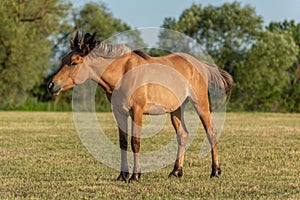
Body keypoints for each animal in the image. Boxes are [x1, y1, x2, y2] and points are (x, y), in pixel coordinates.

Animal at [48, 31, 233, 183]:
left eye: (74, 62)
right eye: (63, 60)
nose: (51, 85)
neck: (122, 73)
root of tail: (200, 64)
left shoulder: (136, 112)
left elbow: (135, 142)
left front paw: (135, 176)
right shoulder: (119, 113)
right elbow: (123, 142)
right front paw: (122, 175)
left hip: (200, 104)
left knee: (211, 131)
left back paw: (215, 171)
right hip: (176, 109)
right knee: (183, 135)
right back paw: (176, 171)